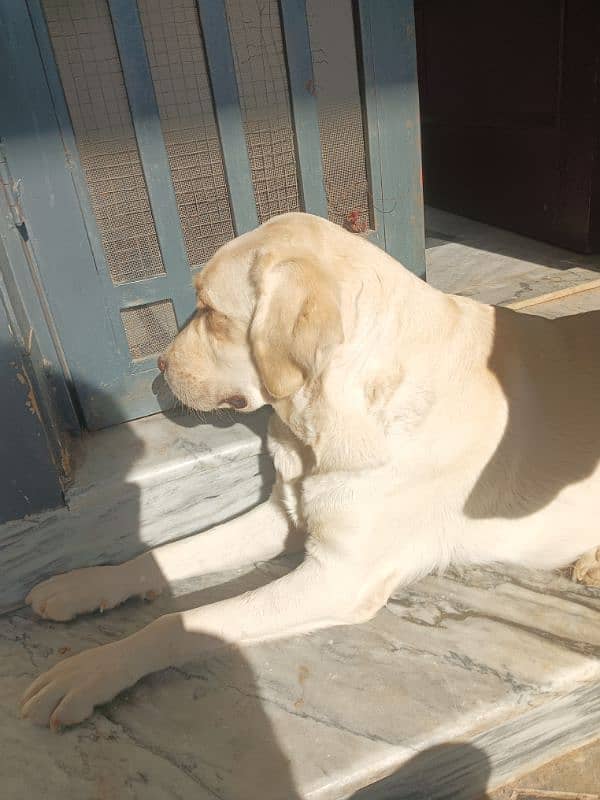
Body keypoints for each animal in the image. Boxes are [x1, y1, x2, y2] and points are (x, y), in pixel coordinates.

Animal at [19, 212, 600, 732]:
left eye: (210, 311)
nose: (159, 367)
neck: (327, 417)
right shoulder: (284, 512)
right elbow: (166, 554)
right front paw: (87, 584)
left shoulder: (339, 576)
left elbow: (177, 622)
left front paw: (90, 671)